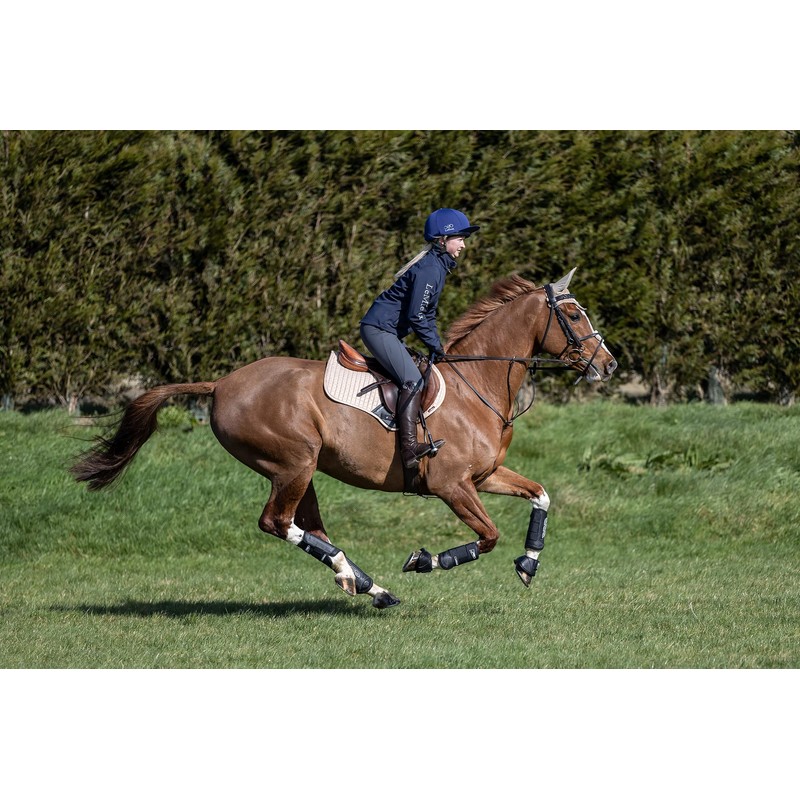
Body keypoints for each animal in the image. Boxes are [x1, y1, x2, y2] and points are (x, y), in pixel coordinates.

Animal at [70, 268, 617, 609]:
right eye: (573, 315)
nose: (608, 365)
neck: (476, 384)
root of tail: (222, 383)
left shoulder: (484, 476)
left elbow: (541, 495)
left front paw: (528, 564)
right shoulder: (452, 486)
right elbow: (488, 536)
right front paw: (426, 560)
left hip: (300, 468)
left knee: (307, 525)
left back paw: (364, 583)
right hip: (294, 463)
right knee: (278, 523)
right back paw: (364, 581)